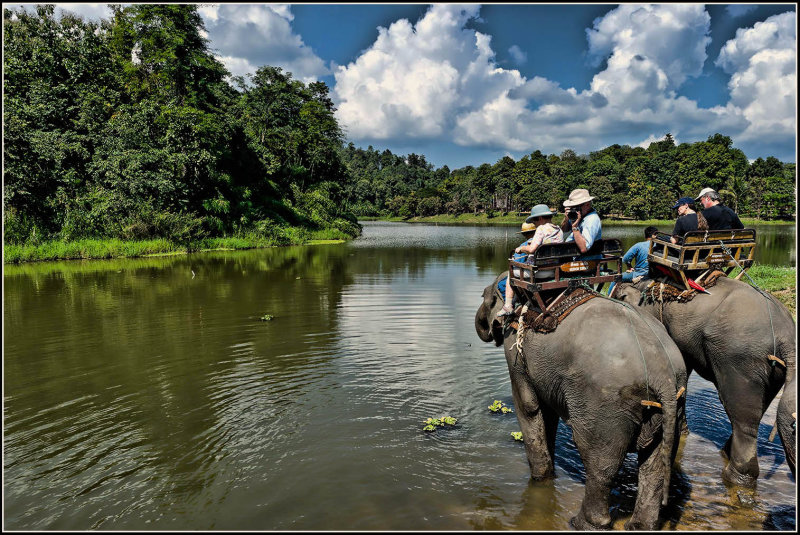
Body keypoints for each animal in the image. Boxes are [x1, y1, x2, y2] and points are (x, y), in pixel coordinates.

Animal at [476, 274, 688, 532]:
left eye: (485, 297)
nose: (484, 325)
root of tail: (663, 374)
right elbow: (547, 415)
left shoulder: (515, 350)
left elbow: (529, 407)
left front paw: (540, 479)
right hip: (671, 404)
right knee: (656, 462)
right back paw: (639, 526)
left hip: (605, 407)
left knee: (601, 463)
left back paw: (582, 523)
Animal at [612, 274, 792, 488]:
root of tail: (785, 335)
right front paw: (682, 432)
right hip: (774, 371)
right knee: (757, 408)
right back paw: (726, 453)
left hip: (740, 360)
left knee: (742, 415)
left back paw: (735, 477)